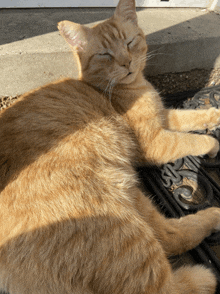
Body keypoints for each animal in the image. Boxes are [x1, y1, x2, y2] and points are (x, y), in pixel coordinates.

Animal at [0, 0, 220, 294]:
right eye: (105, 54)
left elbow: (190, 117)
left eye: (129, 42)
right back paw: (208, 259)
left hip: (129, 190)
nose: (127, 62)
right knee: (163, 269)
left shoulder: (164, 117)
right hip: (116, 218)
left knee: (164, 233)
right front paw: (211, 143)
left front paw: (214, 115)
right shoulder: (155, 142)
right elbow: (190, 139)